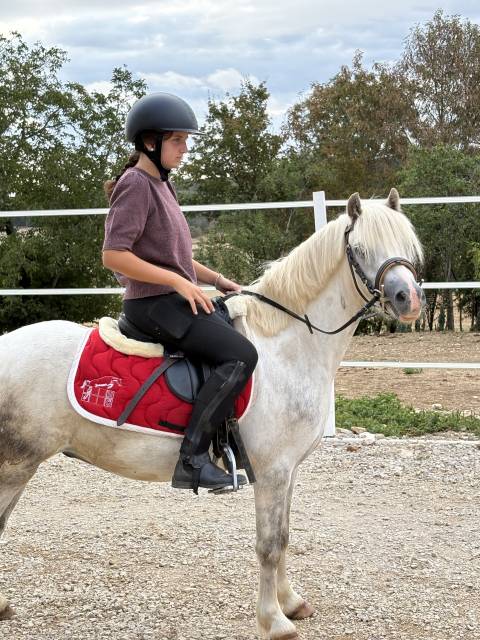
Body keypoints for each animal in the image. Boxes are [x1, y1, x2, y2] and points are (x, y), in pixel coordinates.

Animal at [0, 190, 424, 639]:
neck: (288, 345)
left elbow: (284, 536)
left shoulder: (288, 470)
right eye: (360, 249)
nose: (409, 300)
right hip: (16, 464)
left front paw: (291, 603)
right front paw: (274, 620)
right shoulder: (272, 472)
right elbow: (268, 545)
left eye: (407, 245)